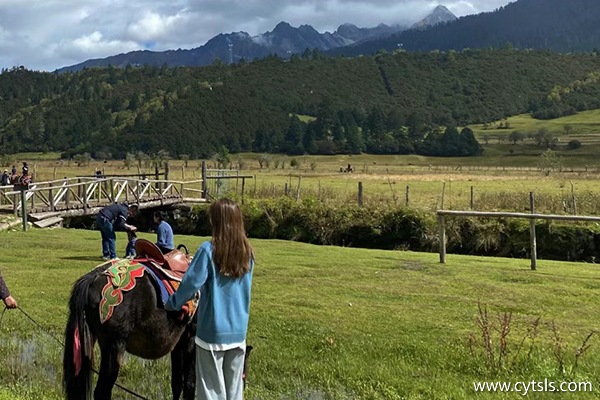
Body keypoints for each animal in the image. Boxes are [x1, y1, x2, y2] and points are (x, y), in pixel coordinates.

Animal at [62, 260, 196, 400]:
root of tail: (94, 277)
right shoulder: (191, 339)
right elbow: (189, 384)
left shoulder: (179, 342)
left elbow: (177, 384)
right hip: (114, 347)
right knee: (102, 392)